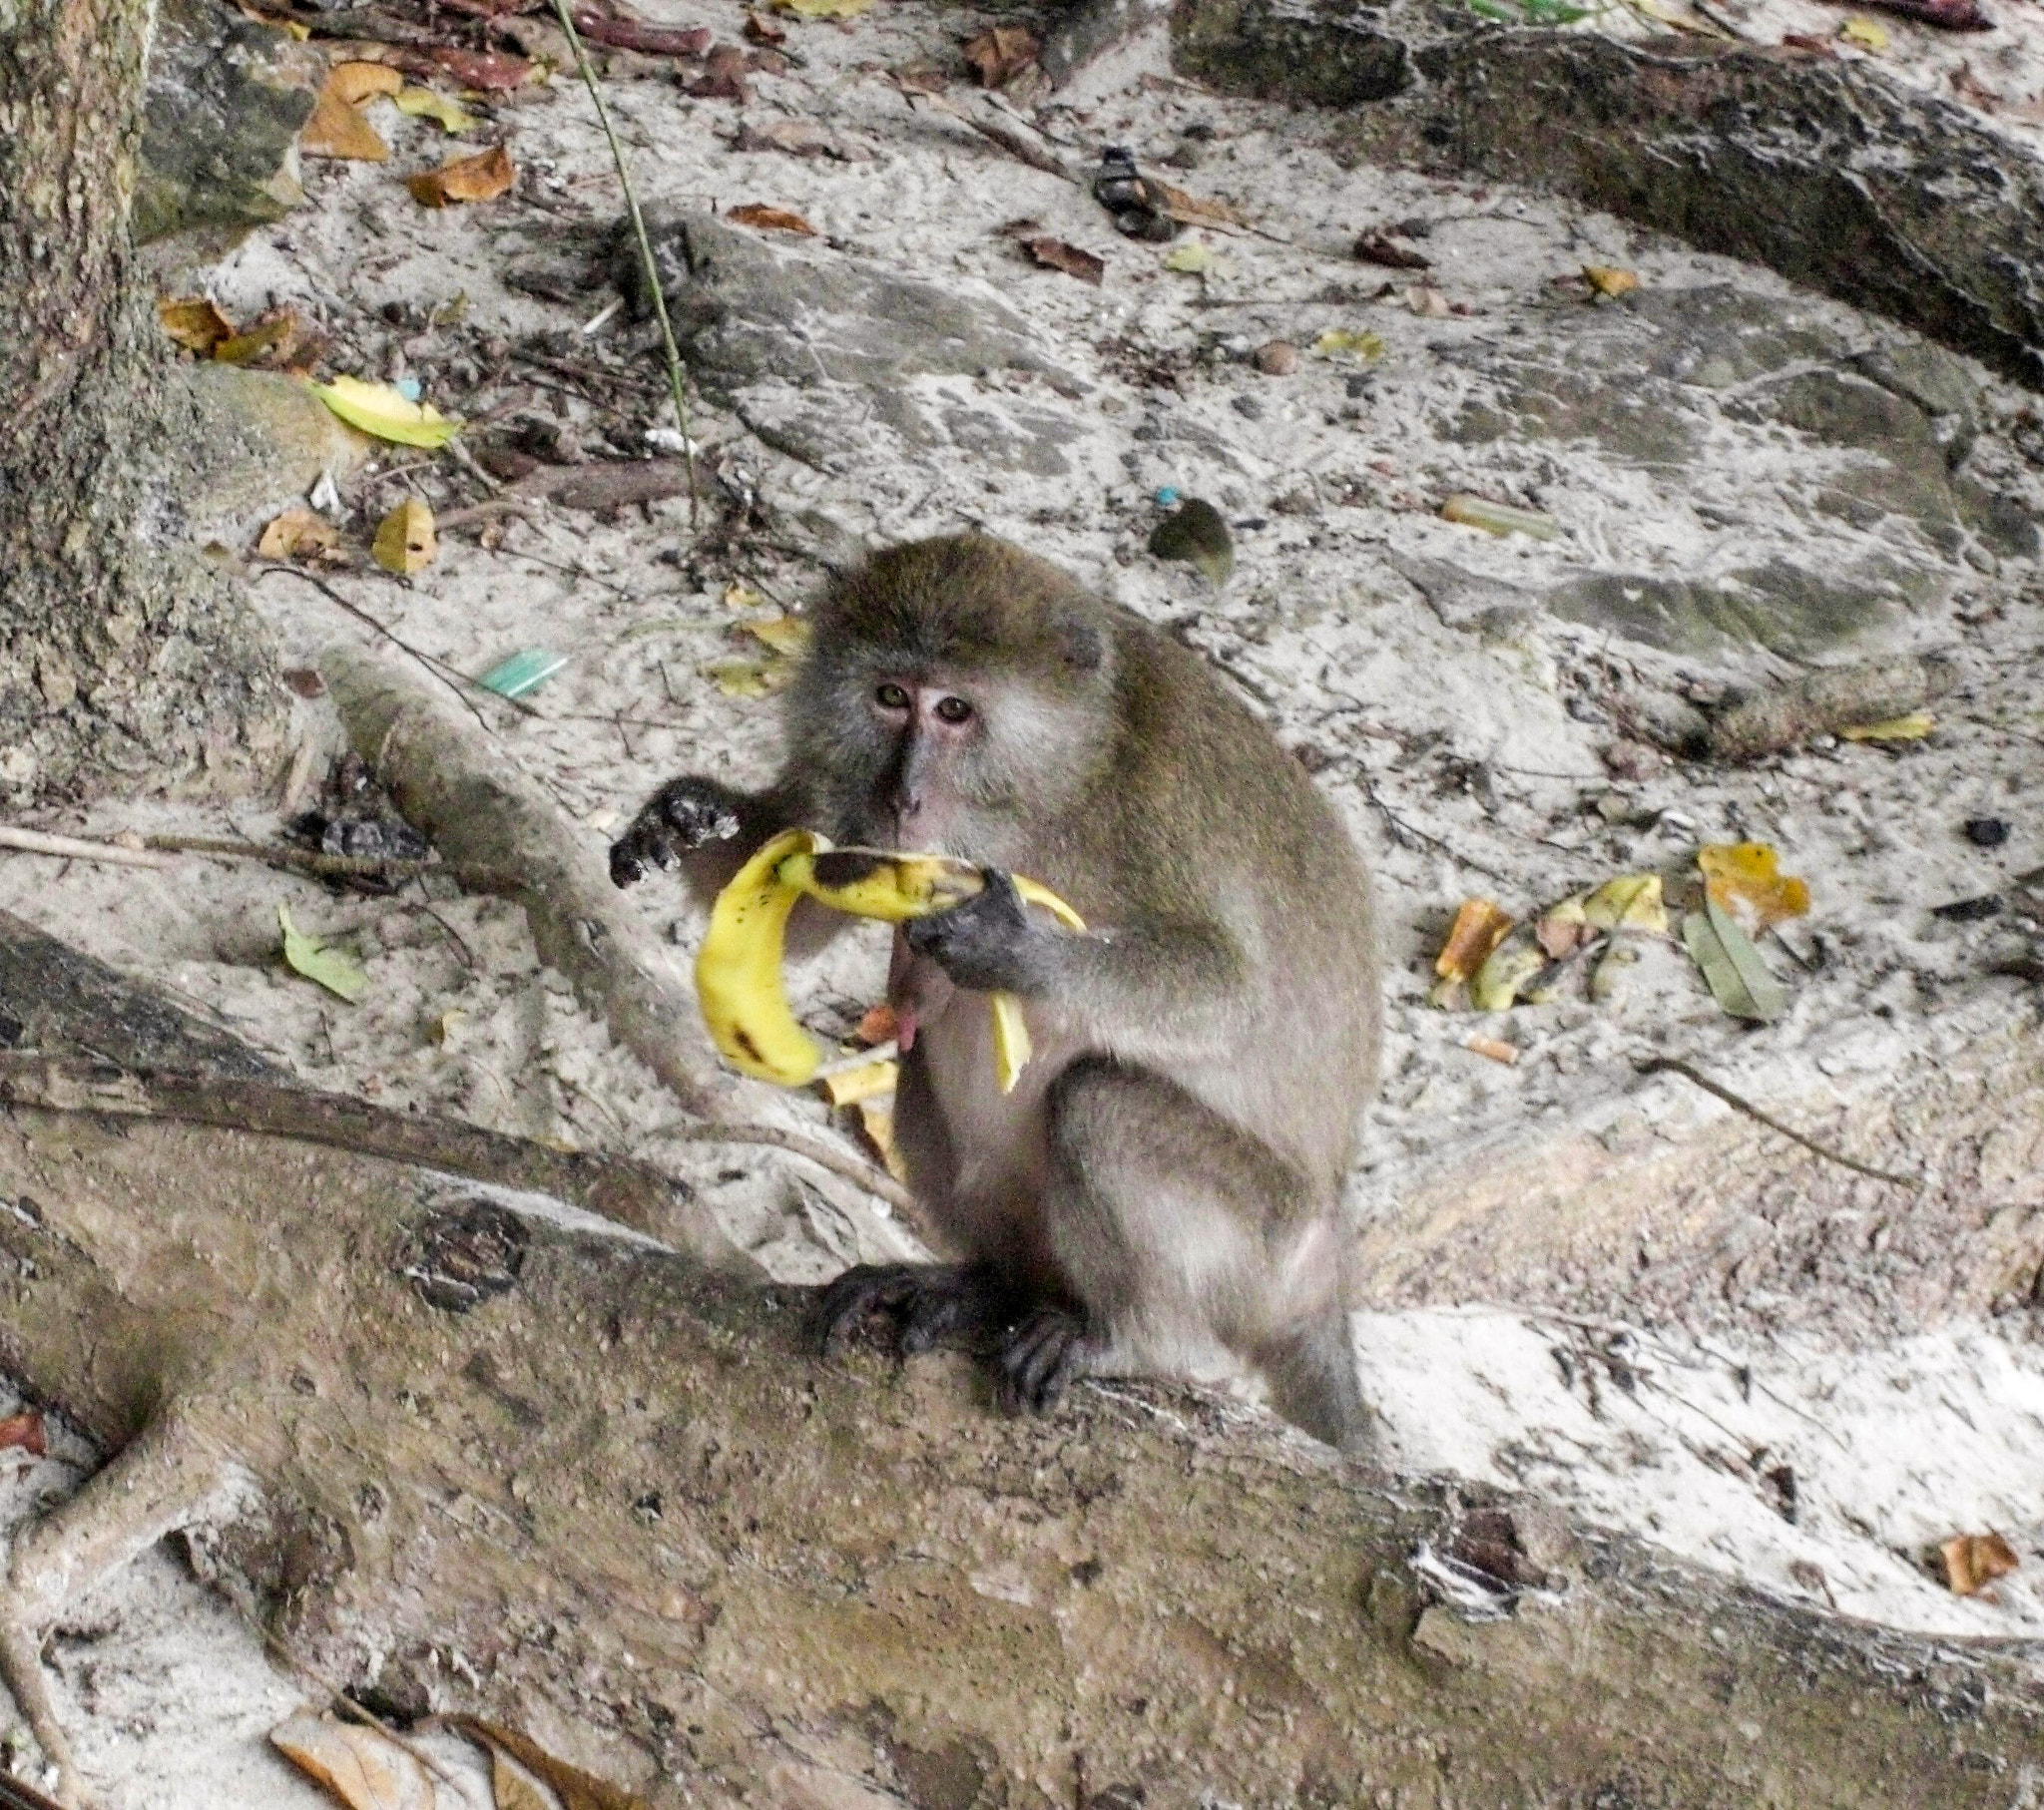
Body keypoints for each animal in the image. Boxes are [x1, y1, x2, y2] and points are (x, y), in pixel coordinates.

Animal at [610, 534, 1380, 1449]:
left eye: (954, 711)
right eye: (891, 697)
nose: (903, 797)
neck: (1060, 779)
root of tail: (1329, 1269)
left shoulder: (1154, 814)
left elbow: (1233, 993)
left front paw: (1014, 948)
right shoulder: (850, 801)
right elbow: (811, 910)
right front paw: (686, 816)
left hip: (1268, 1243)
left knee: (1100, 1102)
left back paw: (1137, 1340)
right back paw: (987, 1285)